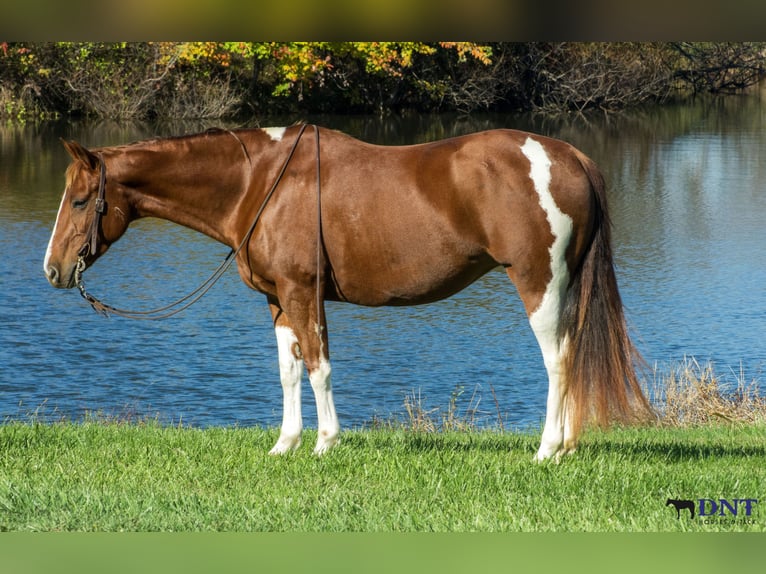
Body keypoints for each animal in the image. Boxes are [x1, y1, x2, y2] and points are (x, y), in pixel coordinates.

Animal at [43, 123, 652, 461]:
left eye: (80, 200)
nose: (52, 270)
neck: (258, 183)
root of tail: (569, 156)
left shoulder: (303, 293)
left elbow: (319, 367)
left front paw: (324, 443)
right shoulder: (278, 300)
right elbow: (289, 371)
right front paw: (285, 444)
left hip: (539, 284)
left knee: (558, 360)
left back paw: (548, 450)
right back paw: (565, 446)